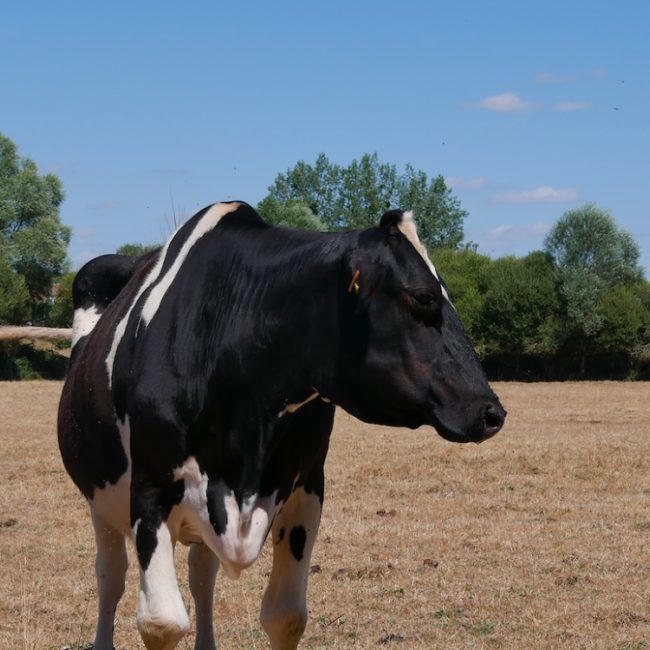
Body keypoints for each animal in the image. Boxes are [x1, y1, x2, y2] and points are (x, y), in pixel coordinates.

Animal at [58, 201, 506, 650]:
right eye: (423, 297)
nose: (492, 412)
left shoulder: (306, 486)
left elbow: (285, 617)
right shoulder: (150, 489)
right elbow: (161, 622)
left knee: (202, 575)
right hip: (102, 503)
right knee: (110, 576)